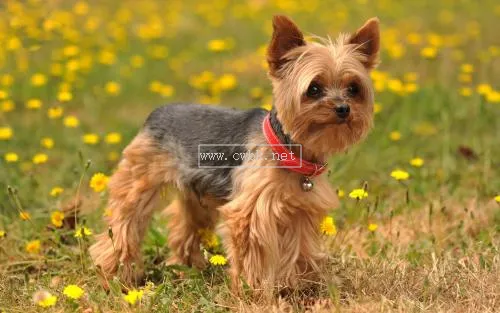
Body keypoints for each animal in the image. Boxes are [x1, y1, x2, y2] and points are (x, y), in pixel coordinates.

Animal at [90, 14, 378, 292]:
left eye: (354, 88)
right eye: (314, 89)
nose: (343, 108)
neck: (289, 147)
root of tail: (159, 110)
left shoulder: (301, 211)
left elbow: (299, 248)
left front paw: (300, 287)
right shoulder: (251, 211)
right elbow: (254, 254)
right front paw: (256, 290)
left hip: (197, 194)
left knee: (185, 228)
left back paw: (188, 268)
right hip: (140, 177)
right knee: (125, 221)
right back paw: (115, 273)